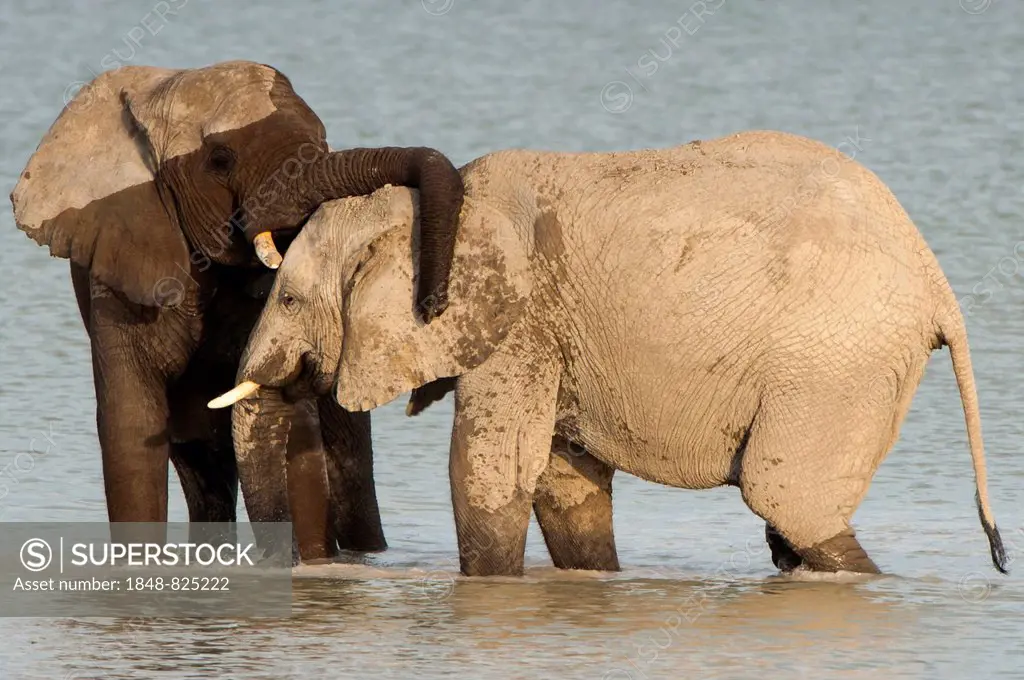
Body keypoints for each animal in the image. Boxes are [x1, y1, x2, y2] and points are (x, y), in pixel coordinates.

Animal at [7, 59, 464, 557]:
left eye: (323, 139)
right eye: (220, 160)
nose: (431, 306)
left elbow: (293, 422)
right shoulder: (117, 274)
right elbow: (131, 429)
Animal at [214, 130, 1007, 577]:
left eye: (289, 301)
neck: (440, 211)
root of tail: (936, 281)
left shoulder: (521, 321)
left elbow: (490, 472)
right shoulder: (556, 336)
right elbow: (565, 483)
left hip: (832, 364)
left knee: (787, 500)